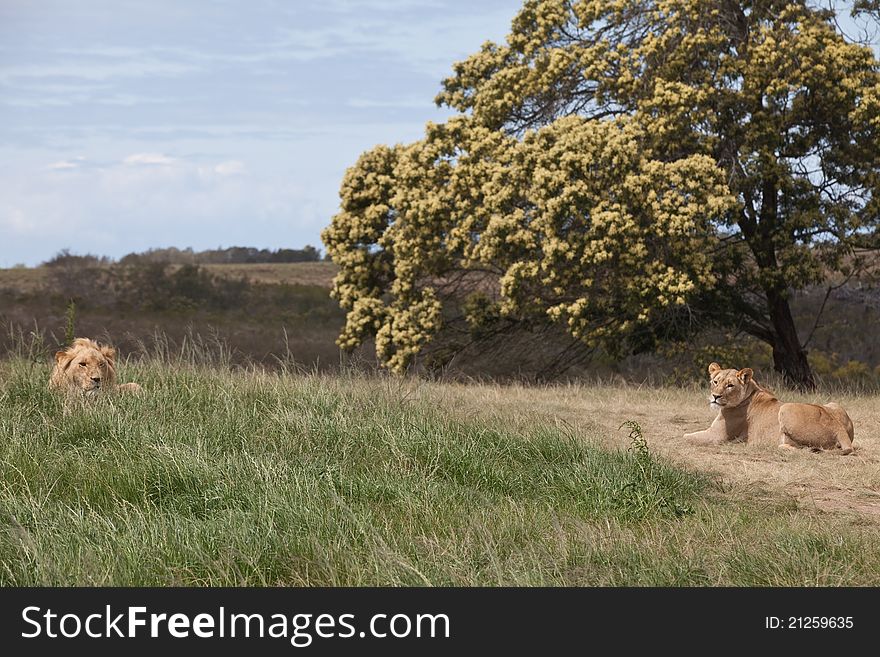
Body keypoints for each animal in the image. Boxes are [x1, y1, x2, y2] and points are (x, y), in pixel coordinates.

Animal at [680, 362, 852, 454]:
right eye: (715, 382)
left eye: (730, 385)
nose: (715, 396)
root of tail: (837, 427)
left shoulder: (716, 436)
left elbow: (685, 437)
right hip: (833, 404)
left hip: (786, 407)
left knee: (802, 447)